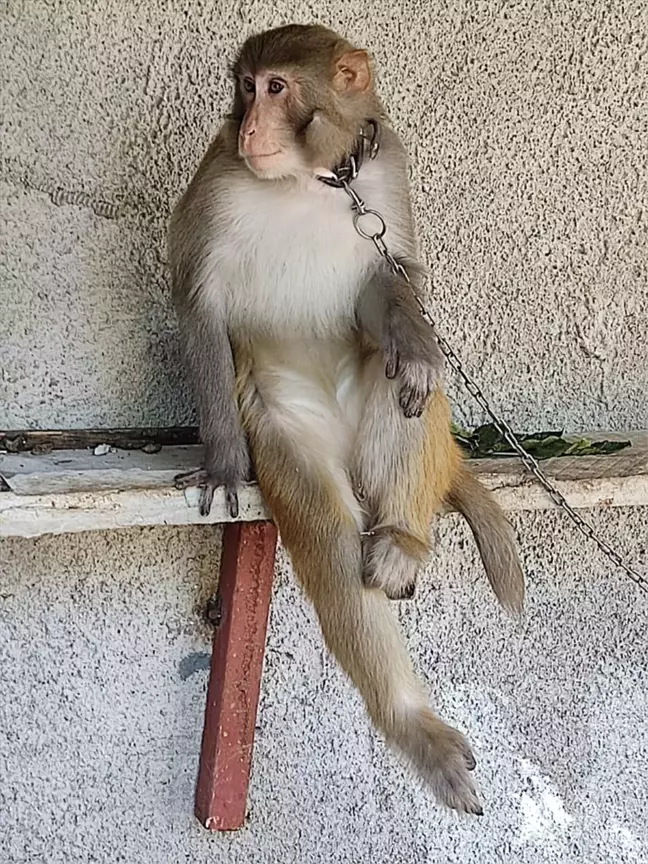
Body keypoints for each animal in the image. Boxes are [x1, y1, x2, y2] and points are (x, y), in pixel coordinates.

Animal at [170, 22, 524, 816]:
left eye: (277, 87)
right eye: (247, 87)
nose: (252, 126)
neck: (311, 178)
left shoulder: (385, 173)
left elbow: (387, 283)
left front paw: (417, 343)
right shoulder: (217, 179)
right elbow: (200, 303)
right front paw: (225, 464)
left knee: (396, 380)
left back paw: (401, 538)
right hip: (287, 427)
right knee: (332, 536)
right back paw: (409, 721)